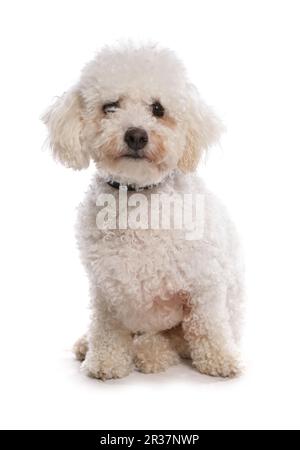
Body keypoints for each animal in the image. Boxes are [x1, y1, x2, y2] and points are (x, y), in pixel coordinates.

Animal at [42, 43, 244, 380]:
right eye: (111, 106)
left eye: (158, 109)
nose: (136, 135)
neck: (139, 199)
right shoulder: (106, 287)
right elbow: (107, 329)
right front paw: (105, 361)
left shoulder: (204, 281)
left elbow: (208, 325)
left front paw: (220, 359)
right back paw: (90, 344)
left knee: (171, 340)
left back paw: (153, 352)